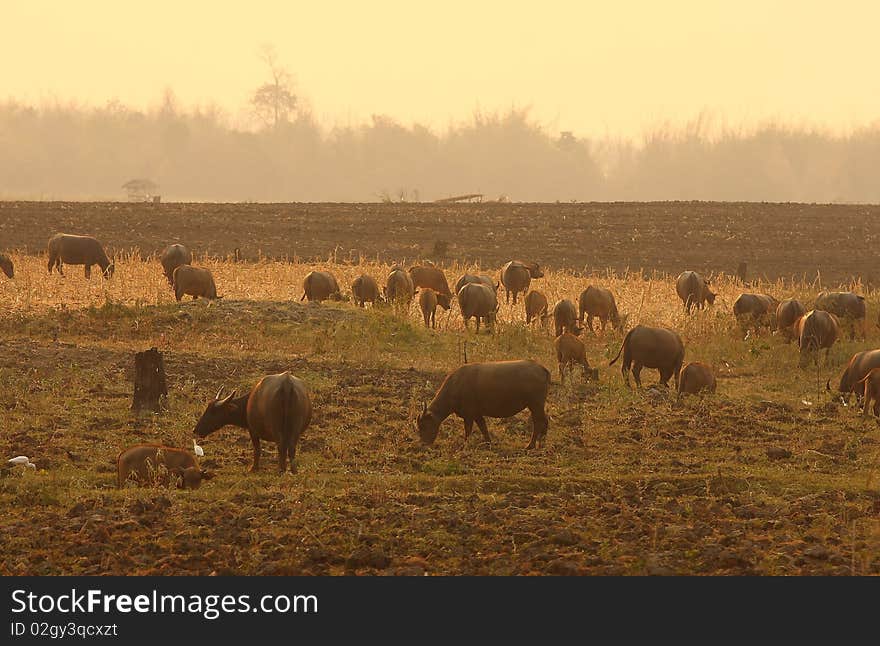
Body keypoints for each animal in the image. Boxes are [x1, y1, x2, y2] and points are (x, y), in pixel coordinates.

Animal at [418, 360, 552, 450]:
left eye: (424, 426)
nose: (423, 444)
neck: (456, 385)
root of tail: (542, 369)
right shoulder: (477, 414)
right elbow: (483, 427)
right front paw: (488, 443)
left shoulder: (469, 415)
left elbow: (468, 430)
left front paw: (464, 445)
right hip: (536, 406)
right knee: (544, 420)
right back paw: (542, 443)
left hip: (535, 404)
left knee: (539, 422)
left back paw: (531, 445)